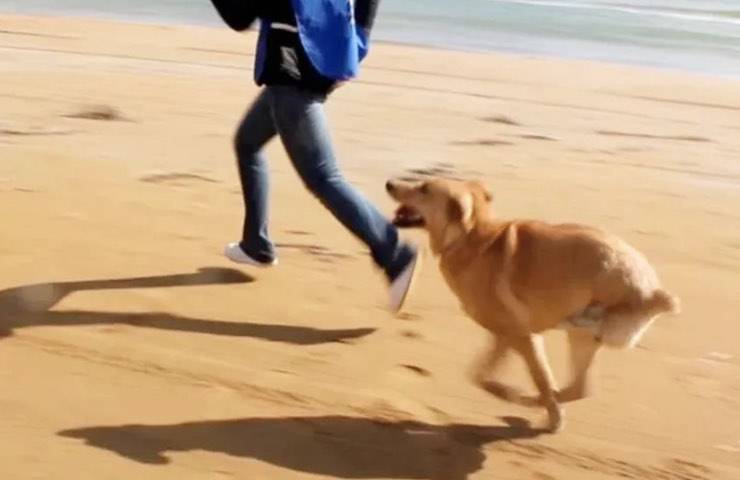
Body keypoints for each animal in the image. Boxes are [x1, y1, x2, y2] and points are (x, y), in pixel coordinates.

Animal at [388, 178, 684, 434]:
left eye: (424, 188)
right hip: (582, 338)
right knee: (581, 388)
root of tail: (652, 291)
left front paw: (516, 396)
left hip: (590, 326)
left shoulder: (522, 336)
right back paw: (540, 405)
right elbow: (480, 374)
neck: (471, 236)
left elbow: (508, 377)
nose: (389, 183)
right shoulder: (505, 336)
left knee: (569, 382)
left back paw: (539, 405)